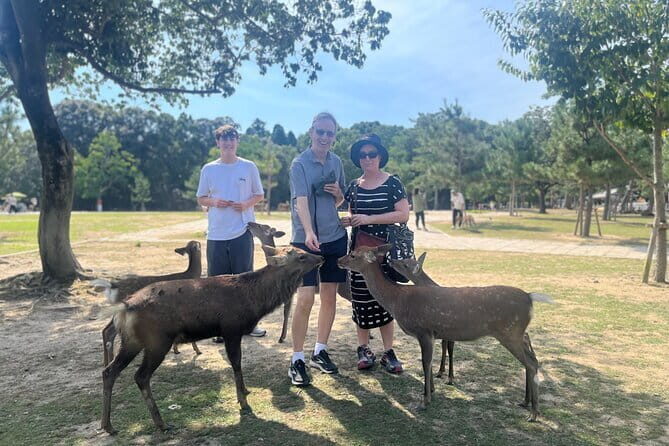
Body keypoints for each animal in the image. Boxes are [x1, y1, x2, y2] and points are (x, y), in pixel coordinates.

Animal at [100, 245, 323, 434]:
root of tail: (125, 307)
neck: (254, 301)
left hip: (133, 341)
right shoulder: (231, 328)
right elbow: (236, 363)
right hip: (157, 340)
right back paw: (161, 423)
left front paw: (246, 391)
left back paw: (108, 425)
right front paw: (243, 402)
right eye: (301, 256)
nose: (321, 257)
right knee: (140, 376)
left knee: (109, 371)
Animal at [389, 253, 456, 385]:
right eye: (405, 258)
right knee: (444, 345)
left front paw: (451, 378)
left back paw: (449, 376)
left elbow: (450, 349)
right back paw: (440, 372)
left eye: (405, 264)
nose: (392, 261)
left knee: (449, 347)